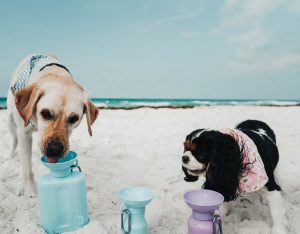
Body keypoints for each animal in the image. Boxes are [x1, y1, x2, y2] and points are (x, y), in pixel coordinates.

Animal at [6, 54, 98, 196]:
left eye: (74, 118)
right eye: (45, 113)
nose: (55, 149)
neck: (54, 72)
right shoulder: (24, 133)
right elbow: (27, 168)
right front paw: (30, 189)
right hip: (10, 120)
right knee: (15, 141)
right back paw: (11, 157)